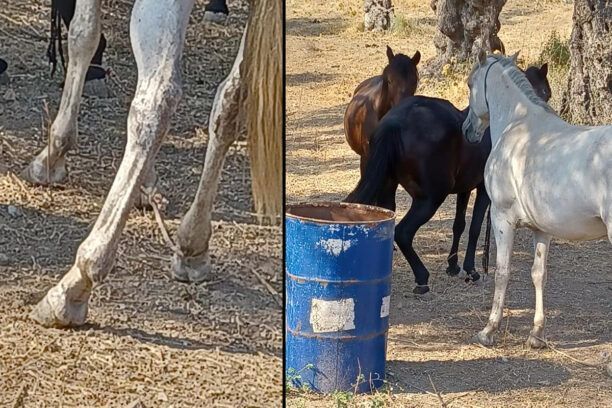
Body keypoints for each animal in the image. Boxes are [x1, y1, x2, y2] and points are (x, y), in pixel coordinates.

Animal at [346, 63, 552, 294]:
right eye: (545, 92)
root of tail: (396, 121)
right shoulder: (482, 191)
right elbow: (475, 227)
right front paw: (471, 270)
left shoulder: (464, 189)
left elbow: (459, 224)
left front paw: (453, 265)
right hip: (430, 199)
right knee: (403, 233)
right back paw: (422, 278)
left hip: (389, 189)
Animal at [464, 51, 612, 348]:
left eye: (469, 84)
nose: (467, 129)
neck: (518, 124)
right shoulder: (542, 229)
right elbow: (538, 274)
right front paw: (536, 334)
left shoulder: (501, 219)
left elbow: (502, 272)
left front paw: (489, 330)